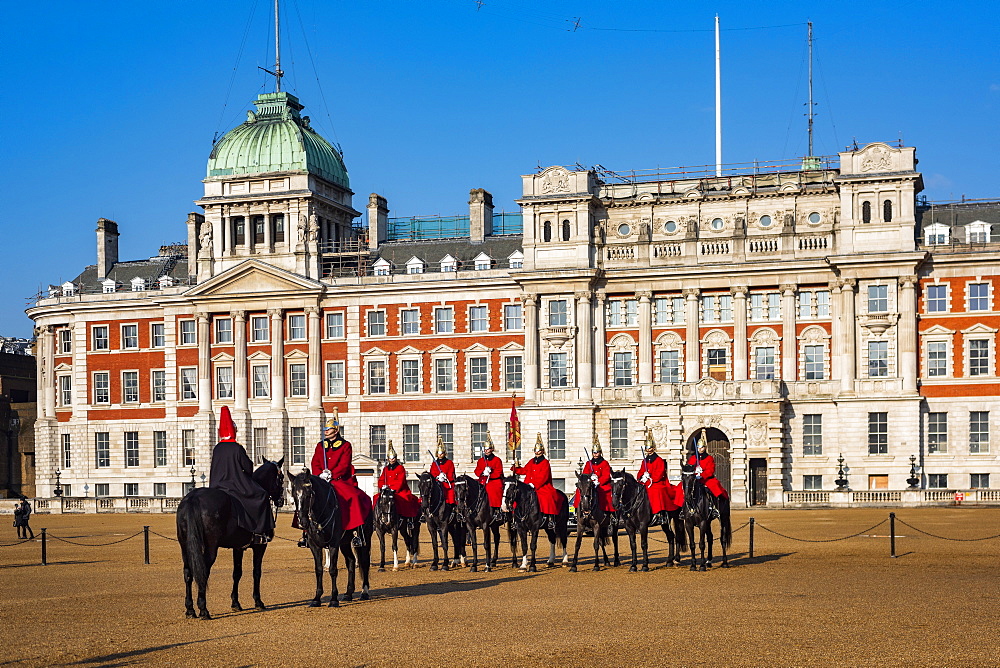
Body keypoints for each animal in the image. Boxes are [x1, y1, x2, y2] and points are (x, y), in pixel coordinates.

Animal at [176, 456, 284, 620]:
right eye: (282, 477)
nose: (282, 501)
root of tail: (193, 497)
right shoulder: (260, 546)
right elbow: (256, 572)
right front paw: (258, 601)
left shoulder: (238, 547)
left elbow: (237, 573)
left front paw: (235, 603)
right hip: (211, 548)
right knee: (203, 571)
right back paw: (203, 609)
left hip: (185, 547)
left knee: (188, 572)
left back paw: (190, 610)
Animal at [290, 470, 376, 604]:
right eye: (294, 494)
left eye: (308, 494)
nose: (302, 523)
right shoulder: (314, 546)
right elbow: (318, 569)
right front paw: (317, 598)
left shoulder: (333, 544)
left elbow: (333, 569)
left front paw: (334, 599)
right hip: (345, 543)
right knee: (351, 561)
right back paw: (348, 593)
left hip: (365, 539)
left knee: (365, 562)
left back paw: (364, 592)